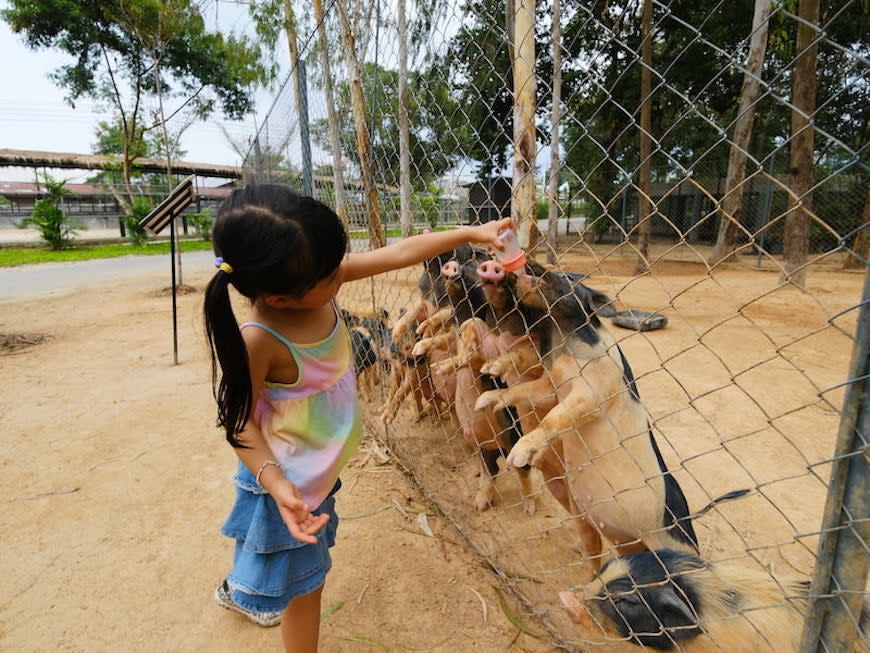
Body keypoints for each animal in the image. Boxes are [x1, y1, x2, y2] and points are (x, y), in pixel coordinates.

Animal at [474, 258, 704, 580]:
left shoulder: (594, 389)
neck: (566, 341)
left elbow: (556, 417)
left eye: (568, 279)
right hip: (585, 514)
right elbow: (521, 391)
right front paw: (483, 401)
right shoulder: (549, 385)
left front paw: (517, 455)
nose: (529, 264)